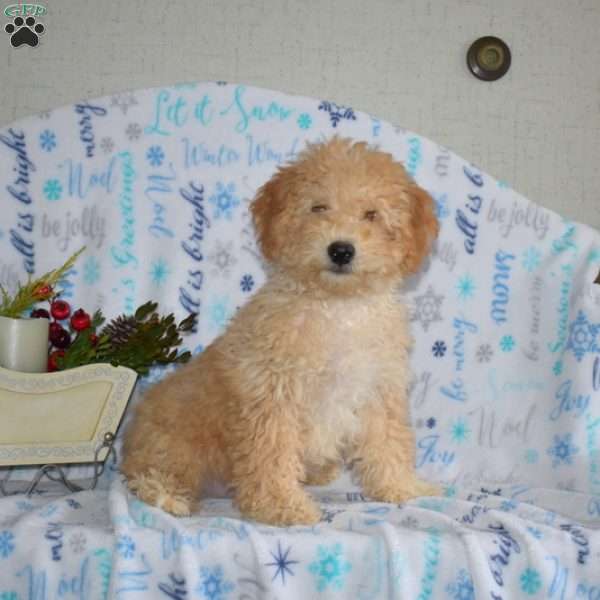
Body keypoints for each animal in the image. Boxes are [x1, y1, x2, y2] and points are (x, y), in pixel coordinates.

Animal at [122, 137, 440, 524]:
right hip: (175, 445)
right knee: (147, 474)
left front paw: (402, 487)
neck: (337, 307)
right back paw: (168, 497)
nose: (341, 250)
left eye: (372, 215)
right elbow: (271, 455)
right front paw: (281, 505)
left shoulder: (378, 390)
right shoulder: (273, 397)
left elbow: (388, 442)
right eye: (318, 207)